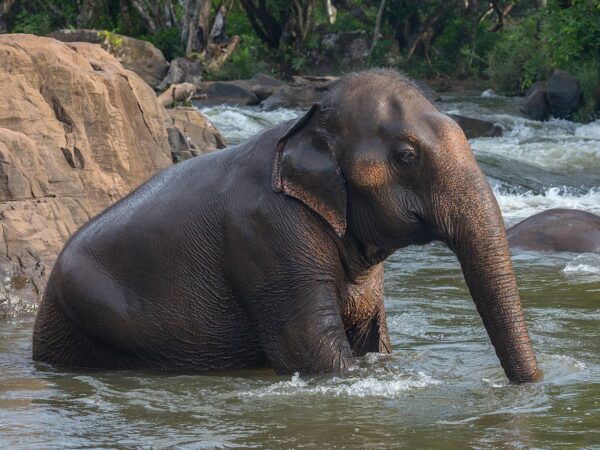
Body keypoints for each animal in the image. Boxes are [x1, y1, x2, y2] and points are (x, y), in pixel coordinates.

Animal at [32, 69, 544, 384]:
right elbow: (315, 353)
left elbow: (374, 340)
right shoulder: (267, 234)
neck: (304, 123)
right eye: (405, 156)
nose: (528, 387)